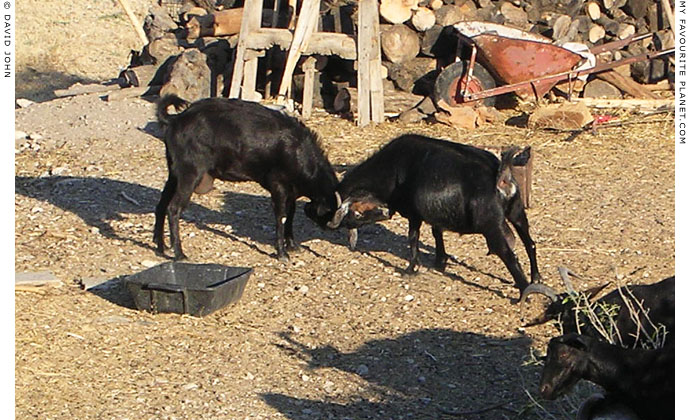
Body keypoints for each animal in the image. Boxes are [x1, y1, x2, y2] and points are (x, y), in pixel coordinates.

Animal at [155, 94, 340, 262]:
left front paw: (293, 245)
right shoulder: (278, 186)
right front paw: (282, 253)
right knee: (173, 208)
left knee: (162, 204)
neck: (297, 151)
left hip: (174, 173)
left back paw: (161, 246)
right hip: (190, 173)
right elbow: (281, 216)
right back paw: (179, 254)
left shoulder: (291, 191)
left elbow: (291, 214)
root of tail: (176, 120)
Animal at [310, 134, 540, 296]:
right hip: (517, 212)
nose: (309, 211)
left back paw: (523, 292)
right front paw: (440, 261)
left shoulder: (413, 214)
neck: (393, 169)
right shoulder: (435, 214)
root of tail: (500, 175)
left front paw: (411, 268)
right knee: (530, 243)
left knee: (509, 254)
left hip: (491, 226)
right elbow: (437, 233)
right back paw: (536, 279)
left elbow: (413, 238)